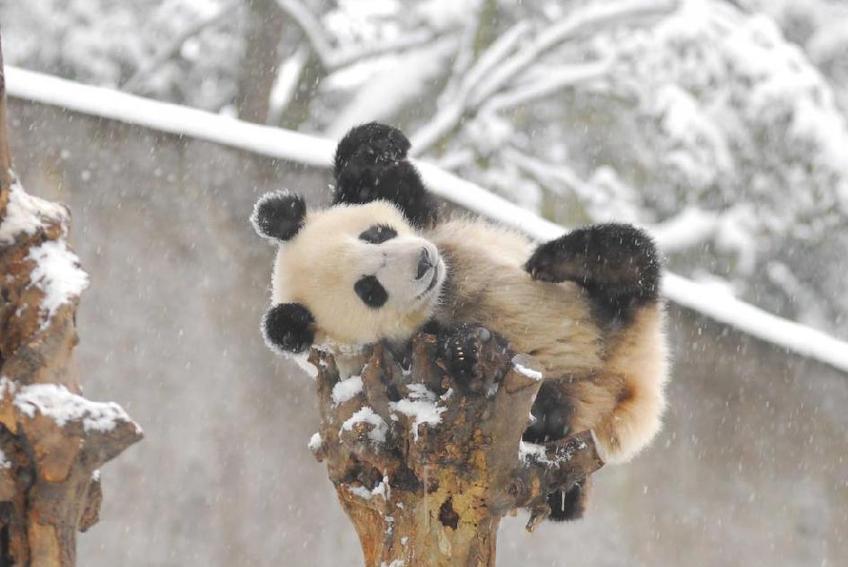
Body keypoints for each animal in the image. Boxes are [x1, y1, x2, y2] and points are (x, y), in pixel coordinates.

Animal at [252, 124, 668, 524]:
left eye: (376, 234)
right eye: (369, 290)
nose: (424, 262)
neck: (441, 294)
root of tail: (635, 386)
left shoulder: (430, 224)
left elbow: (394, 191)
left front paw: (377, 145)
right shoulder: (392, 360)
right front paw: (470, 349)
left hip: (598, 307)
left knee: (629, 256)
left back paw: (562, 259)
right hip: (567, 416)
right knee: (559, 473)